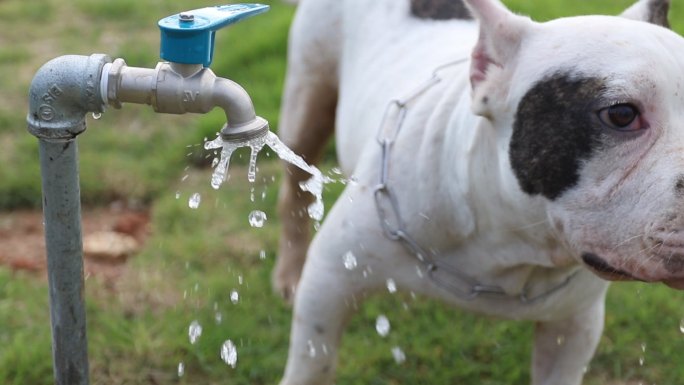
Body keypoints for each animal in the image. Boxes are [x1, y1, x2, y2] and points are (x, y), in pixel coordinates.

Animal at [276, 0, 680, 384]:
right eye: (621, 115)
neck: (509, 238)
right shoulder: (330, 280)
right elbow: (314, 365)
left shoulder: (573, 326)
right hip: (307, 99)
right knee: (294, 191)